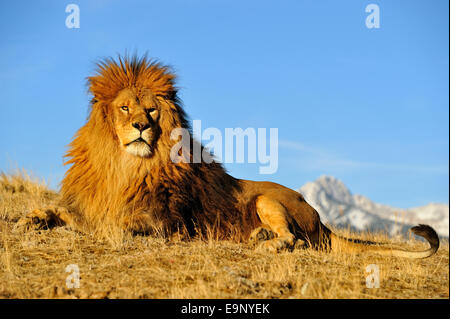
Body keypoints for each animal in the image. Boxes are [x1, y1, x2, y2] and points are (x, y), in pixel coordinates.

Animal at [16, 55, 440, 260]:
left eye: (151, 110)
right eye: (124, 108)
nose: (140, 126)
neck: (127, 167)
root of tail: (321, 220)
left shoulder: (169, 225)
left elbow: (117, 226)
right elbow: (62, 212)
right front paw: (30, 219)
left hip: (270, 198)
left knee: (295, 240)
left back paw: (268, 243)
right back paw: (259, 236)